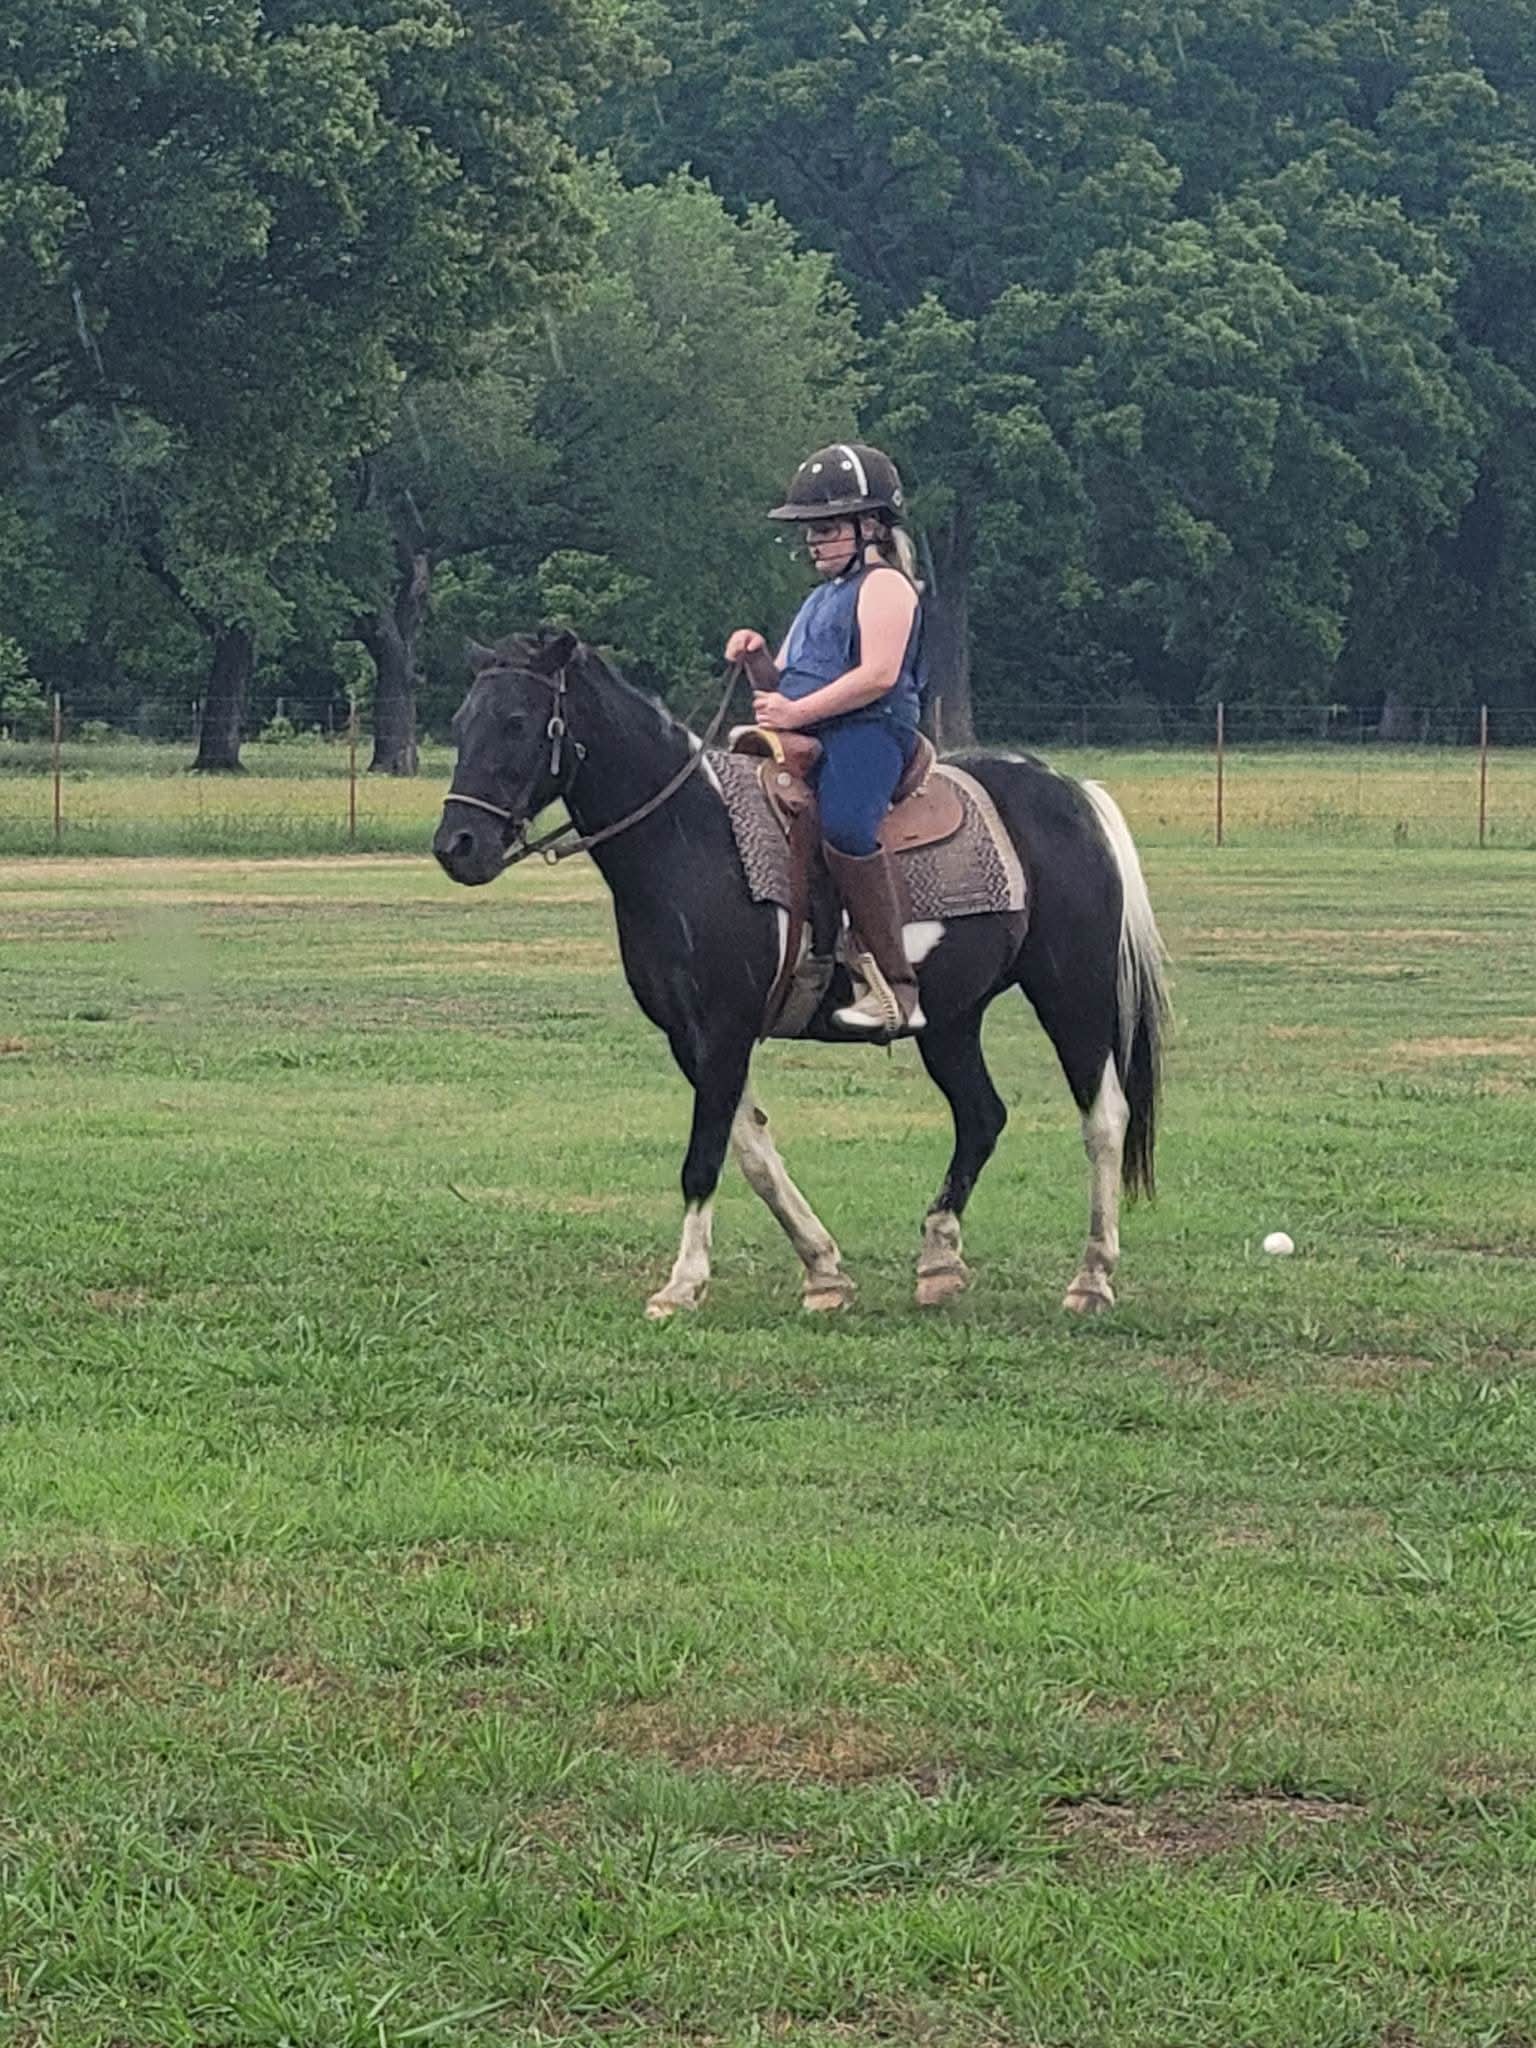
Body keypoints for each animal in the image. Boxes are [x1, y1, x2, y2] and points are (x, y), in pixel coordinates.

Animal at [433, 628, 1170, 1320]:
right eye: (462, 722)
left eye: (517, 722)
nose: (456, 847)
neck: (691, 838)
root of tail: (1074, 794)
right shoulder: (689, 1038)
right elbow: (754, 1153)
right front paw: (822, 1271)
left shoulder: (724, 1029)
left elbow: (704, 1157)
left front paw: (681, 1285)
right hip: (950, 1020)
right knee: (982, 1115)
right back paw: (938, 1262)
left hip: (1072, 993)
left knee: (1104, 1118)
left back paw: (1092, 1277)